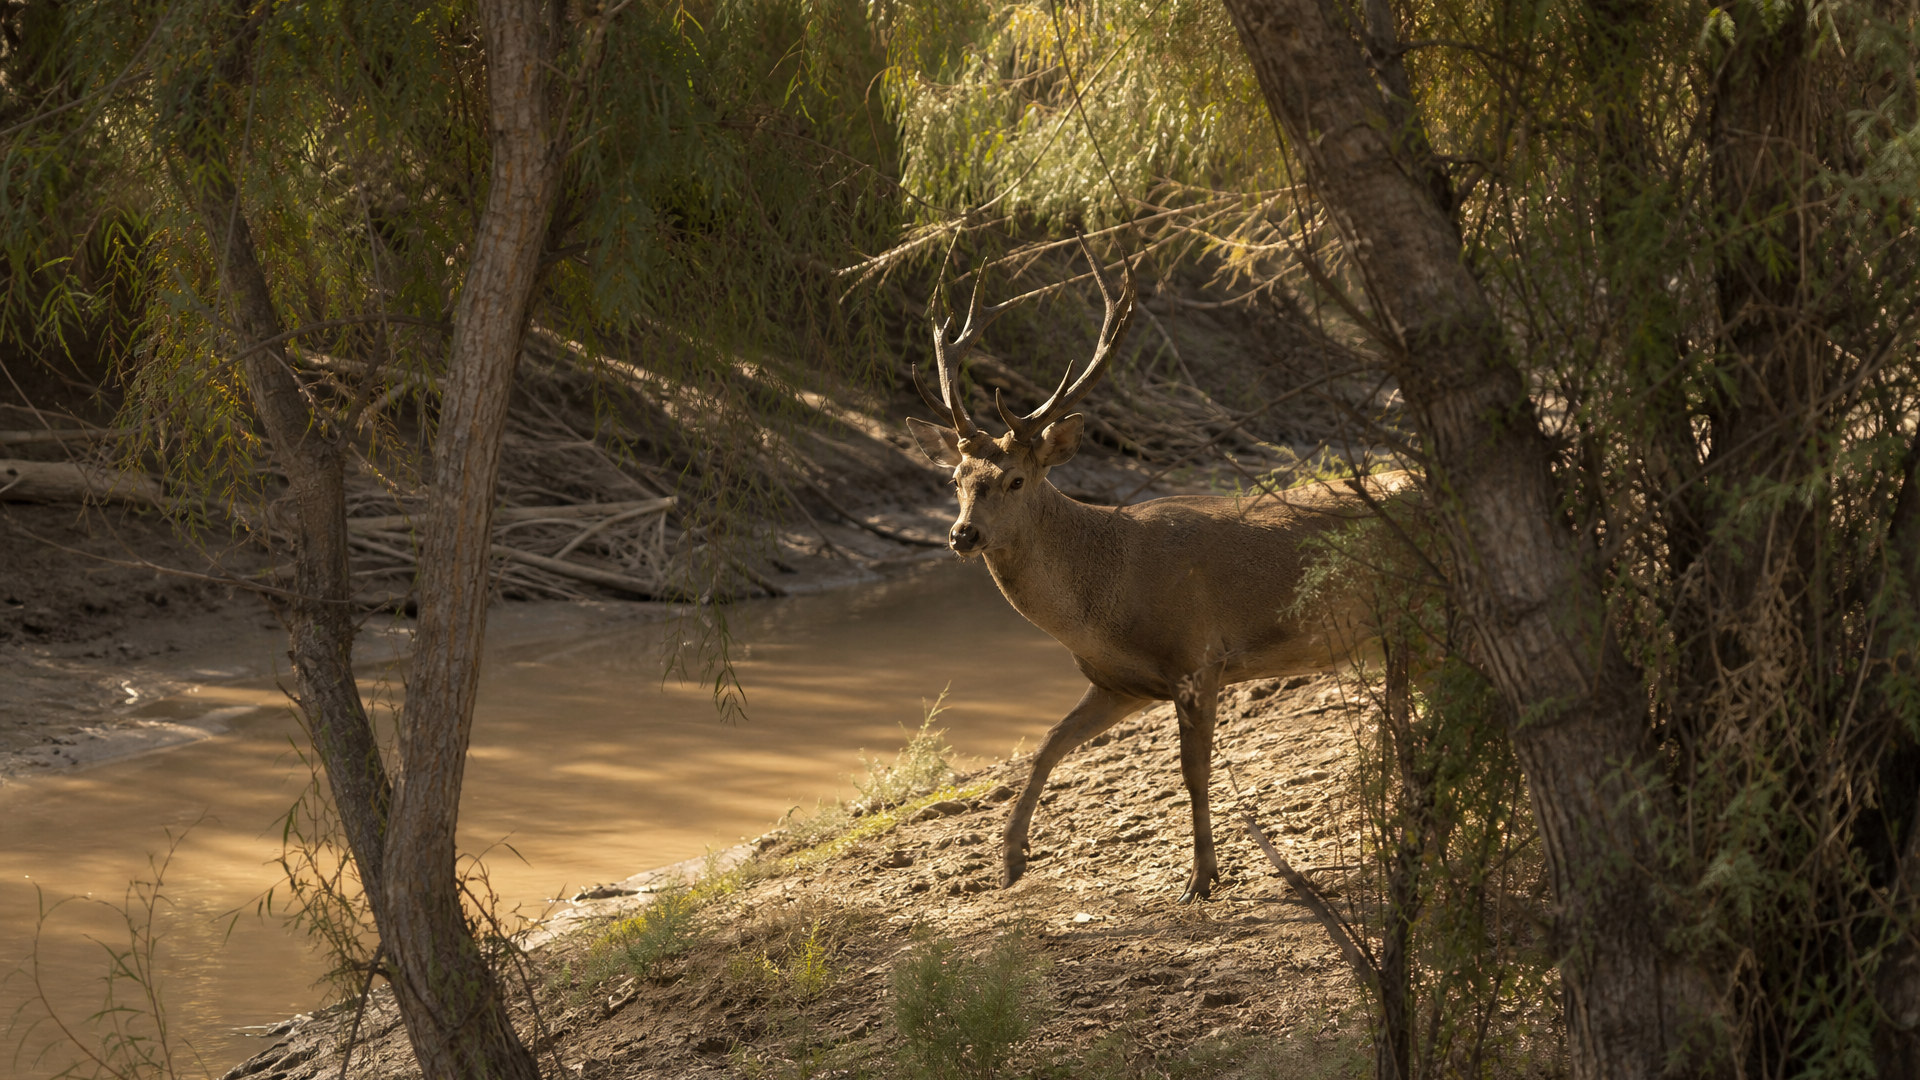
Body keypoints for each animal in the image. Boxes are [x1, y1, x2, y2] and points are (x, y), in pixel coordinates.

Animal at [905, 240, 1404, 902]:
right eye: (956, 480)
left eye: (1014, 479)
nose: (963, 535)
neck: (1106, 596)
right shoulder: (1120, 682)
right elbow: (1047, 745)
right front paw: (1010, 860)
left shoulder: (1197, 655)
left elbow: (1194, 771)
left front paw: (1202, 877)